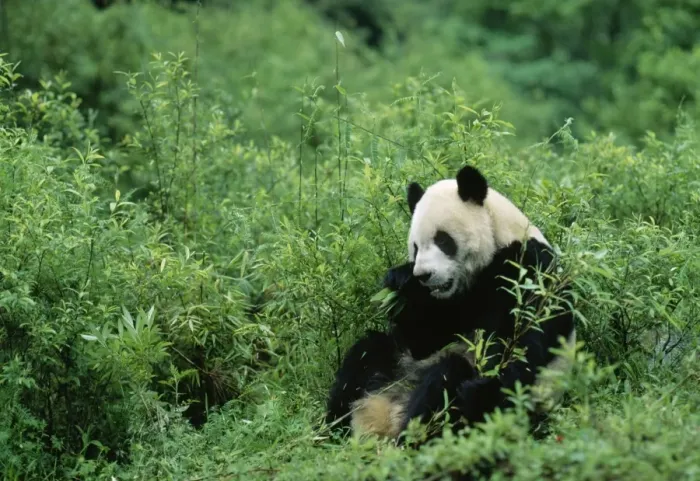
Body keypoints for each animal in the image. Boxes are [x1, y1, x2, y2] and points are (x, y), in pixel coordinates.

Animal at [324, 164, 576, 442]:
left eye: (443, 240)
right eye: (415, 247)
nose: (423, 275)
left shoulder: (529, 268)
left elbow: (523, 341)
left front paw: (478, 392)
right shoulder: (450, 304)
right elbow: (424, 339)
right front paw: (401, 281)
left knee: (447, 377)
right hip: (396, 368)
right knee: (366, 355)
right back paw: (332, 433)